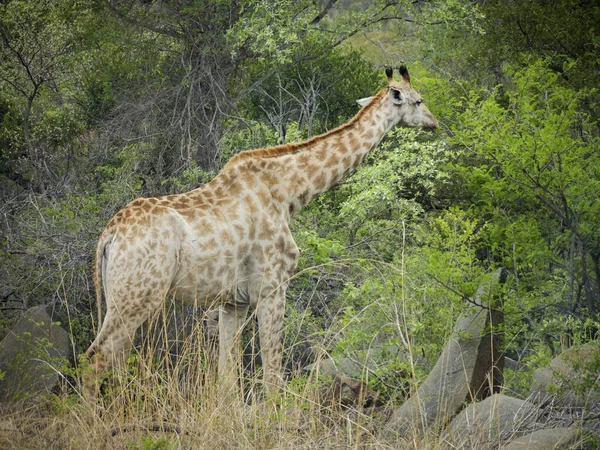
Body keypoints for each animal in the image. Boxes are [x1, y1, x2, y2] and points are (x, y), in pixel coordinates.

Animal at [83, 66, 436, 398]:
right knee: (95, 360)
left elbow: (227, 378)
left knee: (113, 360)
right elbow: (272, 374)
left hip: (119, 297)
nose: (434, 123)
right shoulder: (272, 286)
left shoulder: (232, 302)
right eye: (419, 100)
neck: (290, 192)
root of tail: (108, 235)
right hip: (139, 295)